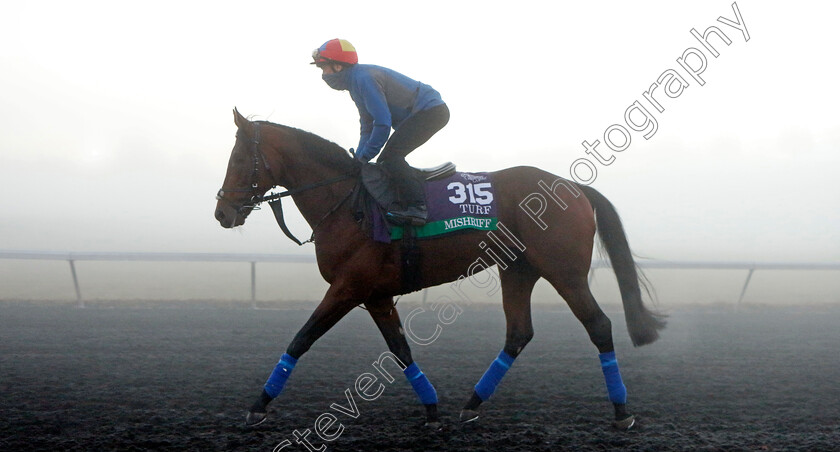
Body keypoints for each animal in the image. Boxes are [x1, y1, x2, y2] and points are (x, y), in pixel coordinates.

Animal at [215, 108, 664, 430]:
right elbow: (400, 350)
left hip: (563, 272)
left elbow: (300, 339)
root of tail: (575, 188)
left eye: (238, 158)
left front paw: (258, 405)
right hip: (518, 270)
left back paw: (622, 412)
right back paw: (472, 403)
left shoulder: (347, 287)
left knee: (598, 325)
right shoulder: (375, 294)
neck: (347, 203)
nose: (222, 212)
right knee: (518, 334)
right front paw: (431, 409)